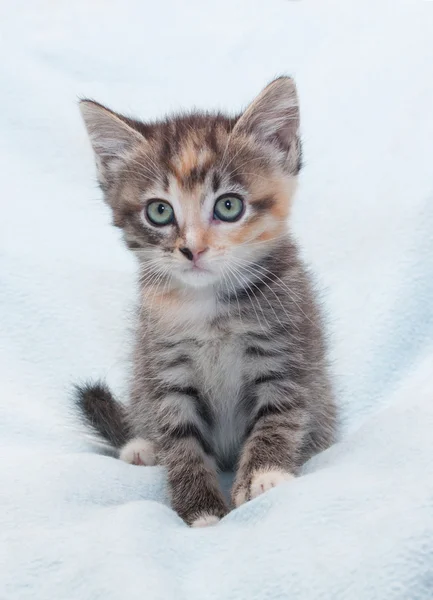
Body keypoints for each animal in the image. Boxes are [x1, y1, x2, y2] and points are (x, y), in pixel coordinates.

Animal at [75, 77, 338, 528]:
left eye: (228, 206)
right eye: (159, 212)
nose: (192, 250)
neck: (210, 305)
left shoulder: (287, 350)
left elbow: (280, 414)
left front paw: (264, 476)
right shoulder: (165, 367)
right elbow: (180, 442)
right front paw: (201, 511)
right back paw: (141, 447)